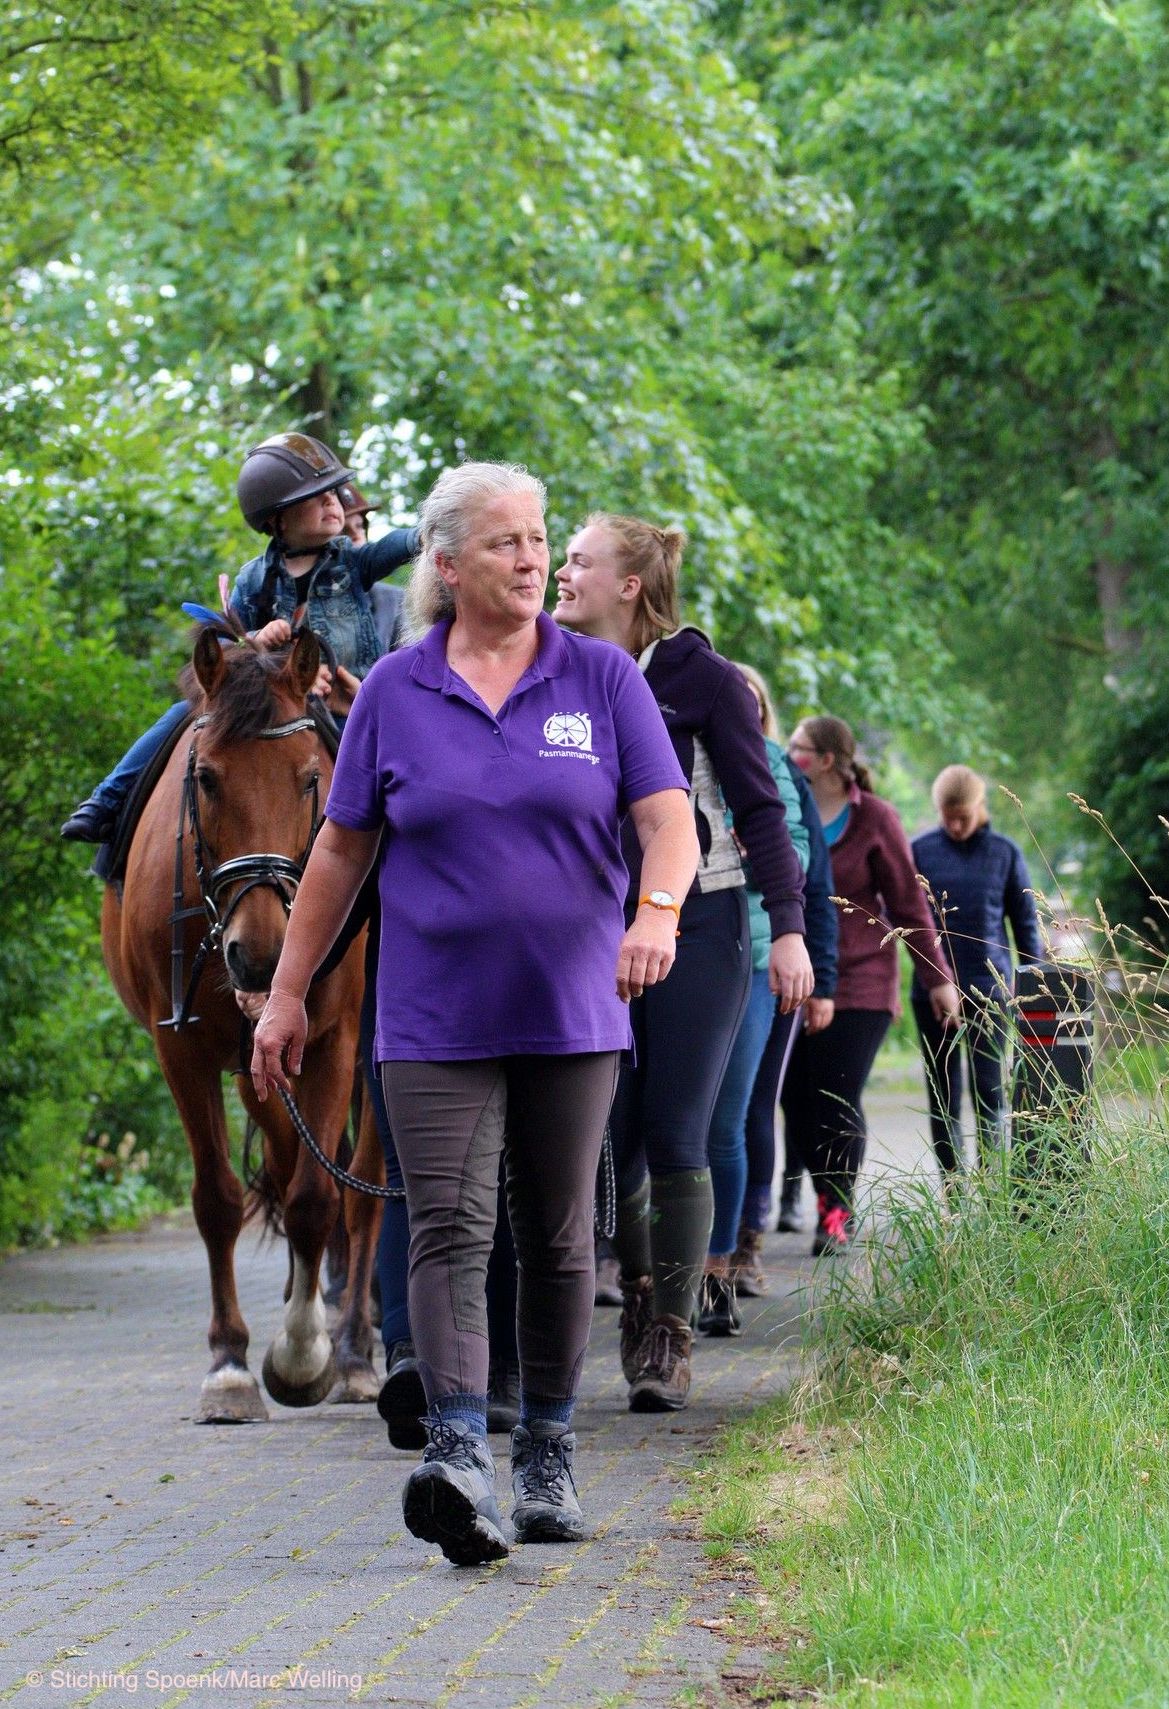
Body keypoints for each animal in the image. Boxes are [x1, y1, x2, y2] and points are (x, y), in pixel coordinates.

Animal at [100, 625, 382, 1415]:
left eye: (310, 777)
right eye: (206, 777)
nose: (262, 956)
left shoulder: (332, 1041)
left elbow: (317, 1198)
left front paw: (302, 1355)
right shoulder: (185, 1049)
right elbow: (220, 1199)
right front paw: (229, 1364)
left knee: (361, 1189)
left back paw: (353, 1350)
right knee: (290, 1165)